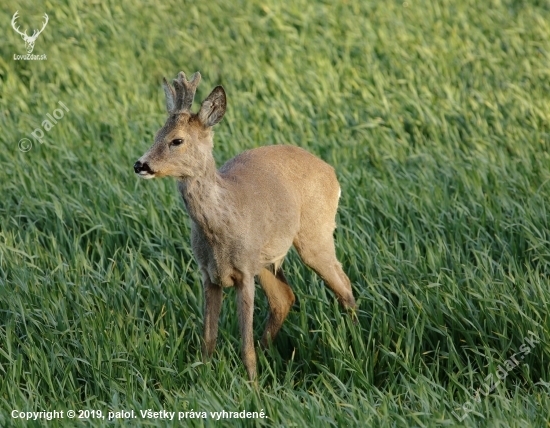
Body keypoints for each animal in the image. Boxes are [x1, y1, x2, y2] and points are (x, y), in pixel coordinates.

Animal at [134, 71, 358, 382]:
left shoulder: (243, 274)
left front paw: (252, 385)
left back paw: (355, 345)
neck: (221, 224)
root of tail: (331, 172)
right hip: (264, 260)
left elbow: (244, 345)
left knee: (344, 286)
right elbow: (208, 338)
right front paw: (204, 378)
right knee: (284, 298)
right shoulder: (209, 274)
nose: (140, 165)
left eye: (176, 140)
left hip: (316, 233)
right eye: (156, 134)